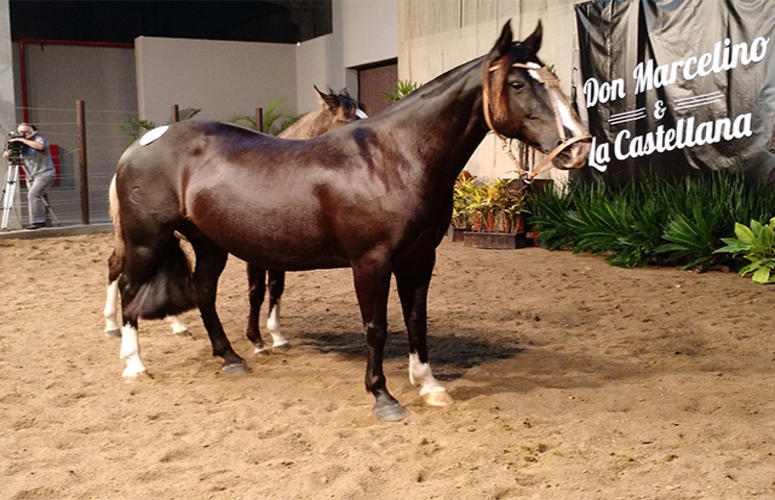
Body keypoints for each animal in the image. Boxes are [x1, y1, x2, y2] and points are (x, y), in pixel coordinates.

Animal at [104, 86, 367, 351]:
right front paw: (257, 339)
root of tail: (122, 166)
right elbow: (256, 291)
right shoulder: (256, 254)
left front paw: (277, 335)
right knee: (116, 267)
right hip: (137, 236)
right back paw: (113, 325)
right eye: (348, 119)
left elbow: (276, 286)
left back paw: (176, 325)